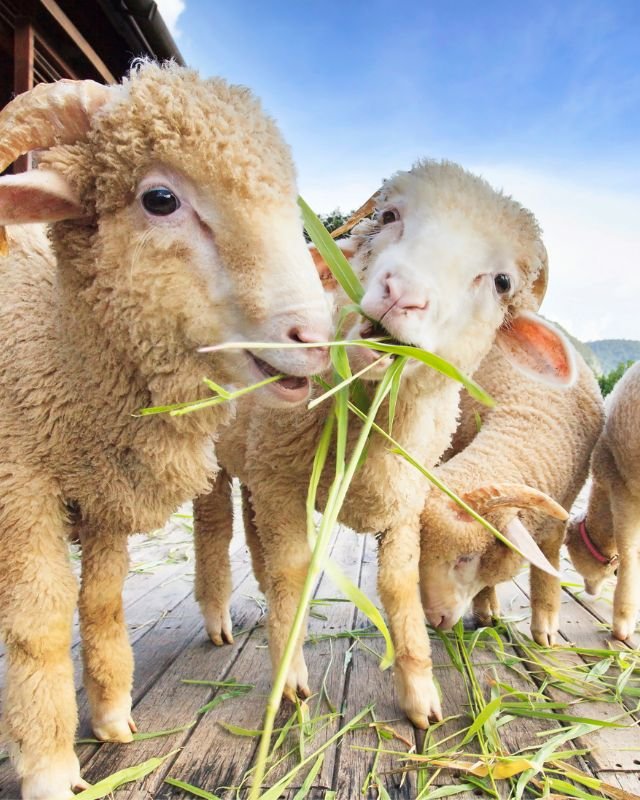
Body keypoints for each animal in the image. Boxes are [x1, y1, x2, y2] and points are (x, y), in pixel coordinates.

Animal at [0, 62, 333, 800]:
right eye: (159, 198)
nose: (316, 339)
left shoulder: (100, 491)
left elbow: (100, 603)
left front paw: (113, 718)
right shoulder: (18, 486)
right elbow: (40, 624)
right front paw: (49, 763)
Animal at [194, 159, 576, 730]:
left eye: (502, 281)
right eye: (389, 215)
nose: (402, 294)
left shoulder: (403, 500)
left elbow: (398, 587)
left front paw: (420, 697)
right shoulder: (284, 484)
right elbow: (292, 574)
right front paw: (290, 677)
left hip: (254, 462)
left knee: (252, 528)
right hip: (215, 455)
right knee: (215, 531)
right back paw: (220, 618)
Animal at [419, 344, 604, 646]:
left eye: (466, 558)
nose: (437, 620)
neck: (528, 415)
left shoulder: (558, 514)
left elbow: (546, 563)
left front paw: (545, 626)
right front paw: (485, 609)